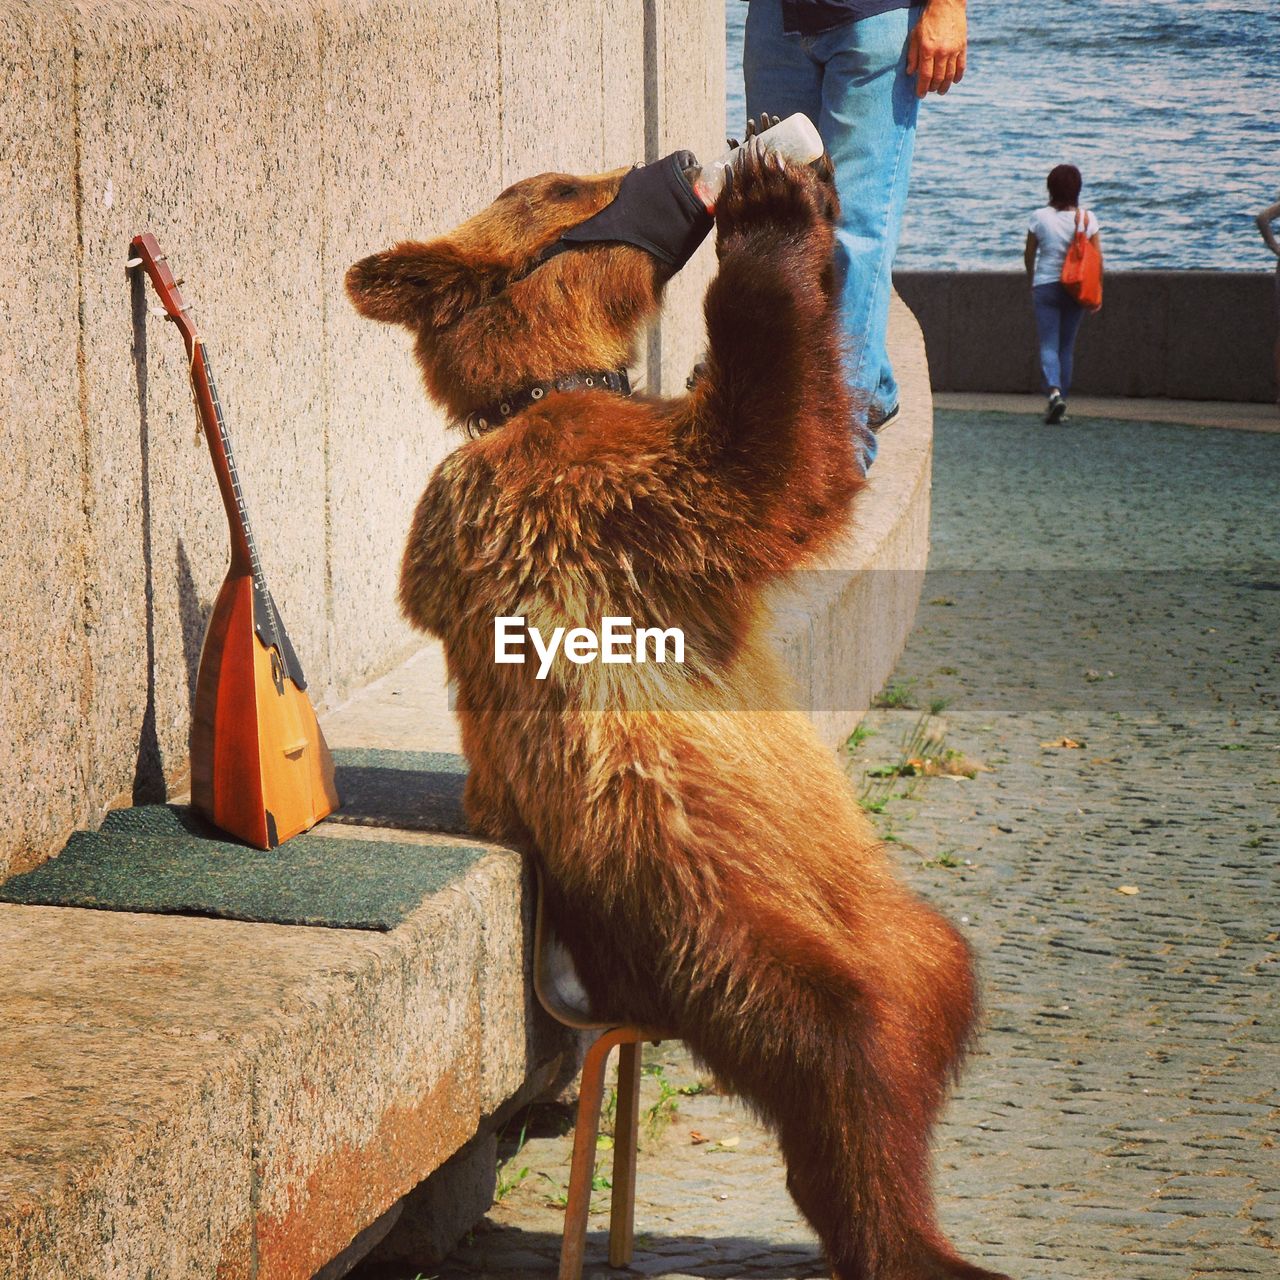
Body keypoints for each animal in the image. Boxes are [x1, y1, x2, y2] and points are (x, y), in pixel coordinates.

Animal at [350, 149, 1008, 1280]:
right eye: (566, 181)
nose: (687, 159)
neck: (553, 386)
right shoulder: (596, 503)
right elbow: (769, 468)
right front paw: (771, 209)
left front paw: (806, 198)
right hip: (681, 902)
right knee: (824, 1041)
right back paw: (892, 1233)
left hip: (861, 902)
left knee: (935, 986)